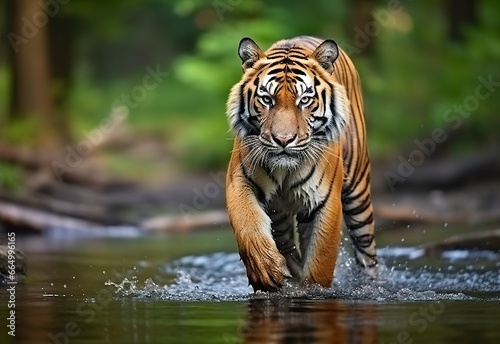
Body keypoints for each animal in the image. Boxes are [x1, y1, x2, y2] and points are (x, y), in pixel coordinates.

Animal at [226, 36, 376, 292]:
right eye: (267, 99)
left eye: (304, 100)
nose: (283, 140)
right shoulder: (239, 179)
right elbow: (247, 222)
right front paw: (265, 269)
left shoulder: (326, 201)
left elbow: (320, 263)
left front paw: (311, 290)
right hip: (278, 213)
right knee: (286, 243)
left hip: (358, 195)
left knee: (367, 253)